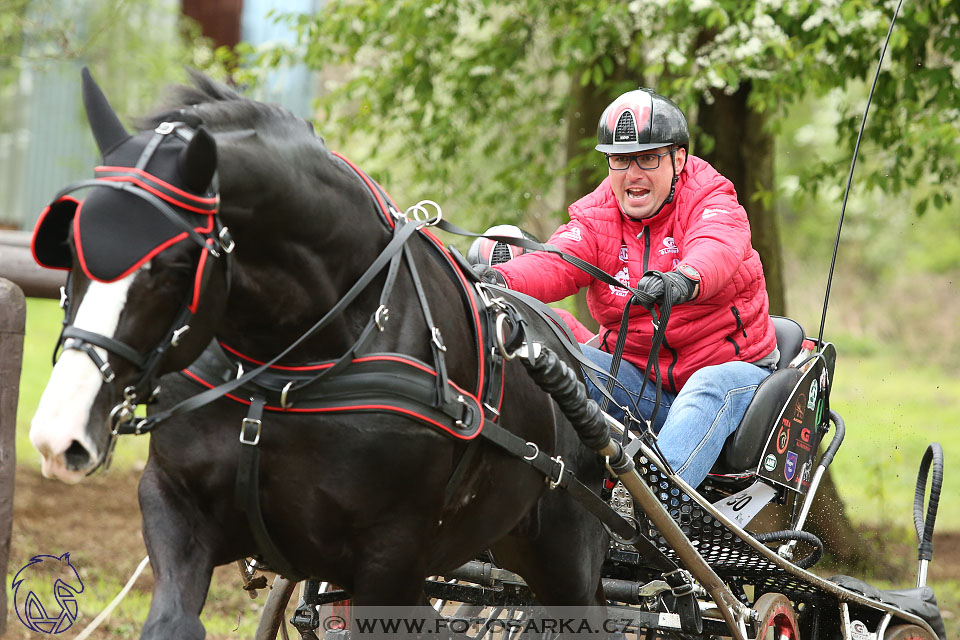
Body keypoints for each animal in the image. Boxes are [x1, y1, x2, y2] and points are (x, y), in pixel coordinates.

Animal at [33, 70, 612, 636]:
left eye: (175, 267)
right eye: (70, 247)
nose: (60, 432)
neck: (288, 368)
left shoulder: (391, 556)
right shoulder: (176, 505)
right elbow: (171, 620)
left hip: (566, 557)